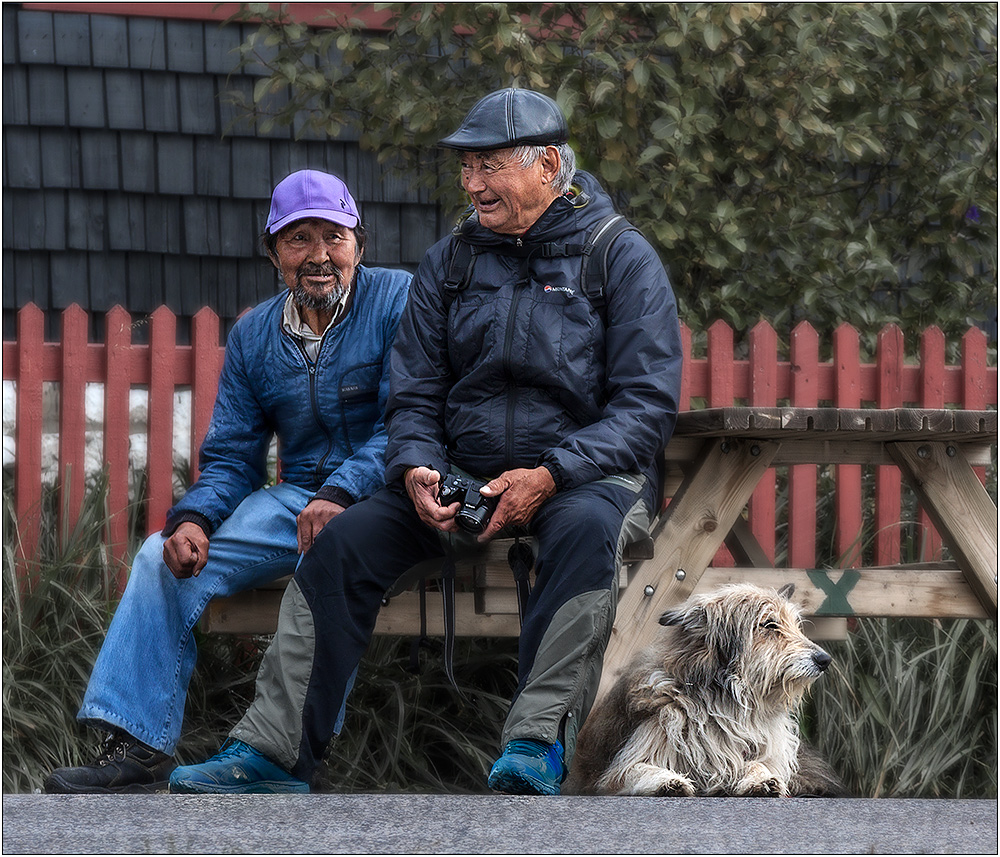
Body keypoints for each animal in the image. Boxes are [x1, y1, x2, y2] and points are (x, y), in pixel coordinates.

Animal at [572, 580, 844, 796]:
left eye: (796, 625)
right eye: (768, 625)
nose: (825, 660)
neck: (724, 702)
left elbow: (758, 764)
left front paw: (762, 779)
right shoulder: (617, 769)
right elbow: (637, 769)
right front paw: (667, 780)